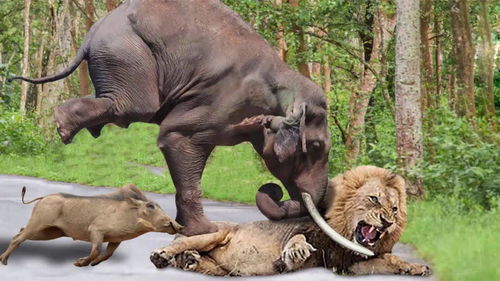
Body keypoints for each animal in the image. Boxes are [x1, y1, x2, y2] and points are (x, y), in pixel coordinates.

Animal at [10, 0, 372, 256]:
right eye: (316, 148)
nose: (275, 191)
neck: (284, 80)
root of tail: (92, 33)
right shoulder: (219, 101)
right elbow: (175, 135)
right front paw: (205, 229)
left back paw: (69, 128)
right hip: (128, 54)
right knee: (134, 106)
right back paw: (62, 128)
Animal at [150, 165, 432, 274]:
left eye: (394, 209)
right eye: (374, 199)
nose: (388, 222)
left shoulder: (348, 263)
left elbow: (391, 260)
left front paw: (417, 268)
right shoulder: (307, 231)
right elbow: (298, 236)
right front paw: (295, 252)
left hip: (224, 269)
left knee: (198, 261)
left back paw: (190, 260)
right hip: (215, 233)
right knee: (179, 244)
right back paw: (163, 255)